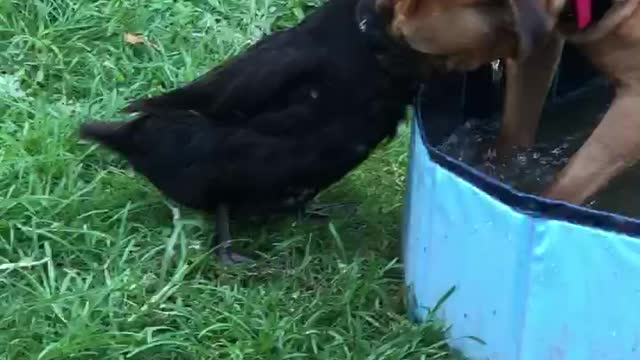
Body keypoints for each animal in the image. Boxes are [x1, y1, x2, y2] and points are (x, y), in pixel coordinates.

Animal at [382, 0, 640, 205]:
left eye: (415, 47)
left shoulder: (631, 107)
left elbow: (569, 184)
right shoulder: (536, 50)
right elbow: (514, 133)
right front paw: (499, 175)